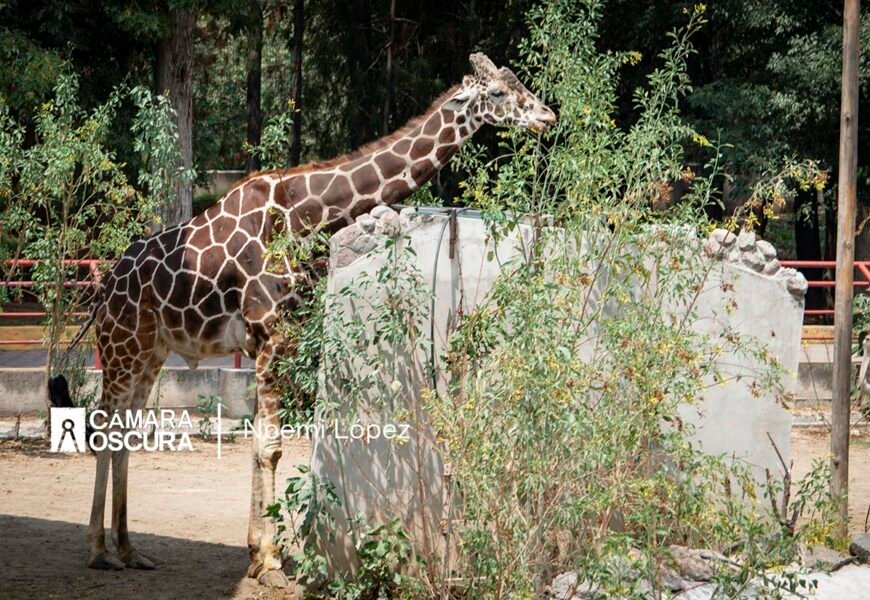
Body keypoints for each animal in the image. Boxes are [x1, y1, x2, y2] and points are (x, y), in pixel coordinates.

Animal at [51, 52, 555, 587]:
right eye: (497, 92)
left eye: (518, 83)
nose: (546, 116)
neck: (305, 214)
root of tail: (104, 288)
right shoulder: (270, 336)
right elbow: (269, 445)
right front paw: (270, 562)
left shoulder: (278, 339)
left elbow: (267, 441)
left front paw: (259, 555)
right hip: (122, 346)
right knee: (105, 426)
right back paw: (98, 551)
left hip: (152, 350)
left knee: (124, 432)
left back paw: (129, 550)